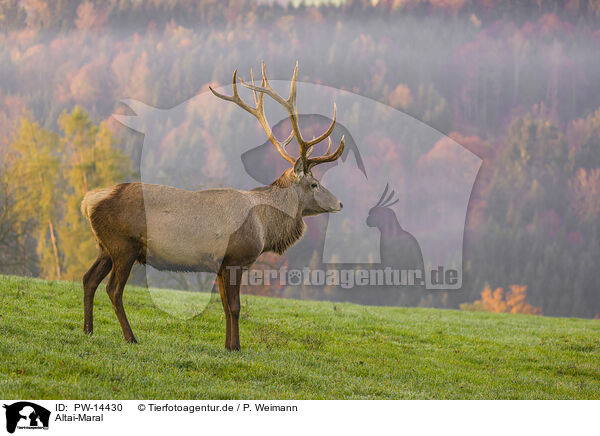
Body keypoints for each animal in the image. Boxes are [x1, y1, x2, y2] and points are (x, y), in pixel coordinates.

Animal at [81, 62, 346, 350]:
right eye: (314, 184)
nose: (340, 203)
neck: (264, 227)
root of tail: (88, 201)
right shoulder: (235, 259)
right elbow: (235, 307)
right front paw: (237, 346)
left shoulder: (219, 265)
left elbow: (224, 306)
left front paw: (228, 345)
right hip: (123, 246)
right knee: (113, 290)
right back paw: (130, 337)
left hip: (104, 247)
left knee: (88, 279)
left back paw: (88, 330)